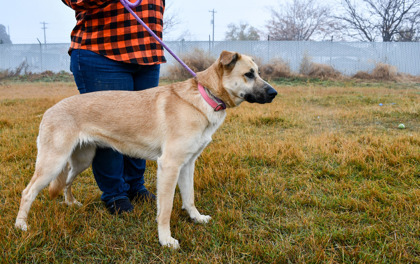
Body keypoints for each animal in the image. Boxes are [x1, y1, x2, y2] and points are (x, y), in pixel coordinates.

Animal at [14, 50, 278, 249]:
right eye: (249, 74)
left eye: (258, 73)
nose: (274, 93)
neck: (205, 96)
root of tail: (49, 111)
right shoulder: (169, 166)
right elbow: (166, 209)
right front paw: (166, 240)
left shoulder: (187, 165)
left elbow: (189, 197)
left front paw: (196, 218)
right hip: (52, 163)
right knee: (28, 192)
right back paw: (21, 226)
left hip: (81, 161)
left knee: (66, 182)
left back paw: (71, 204)